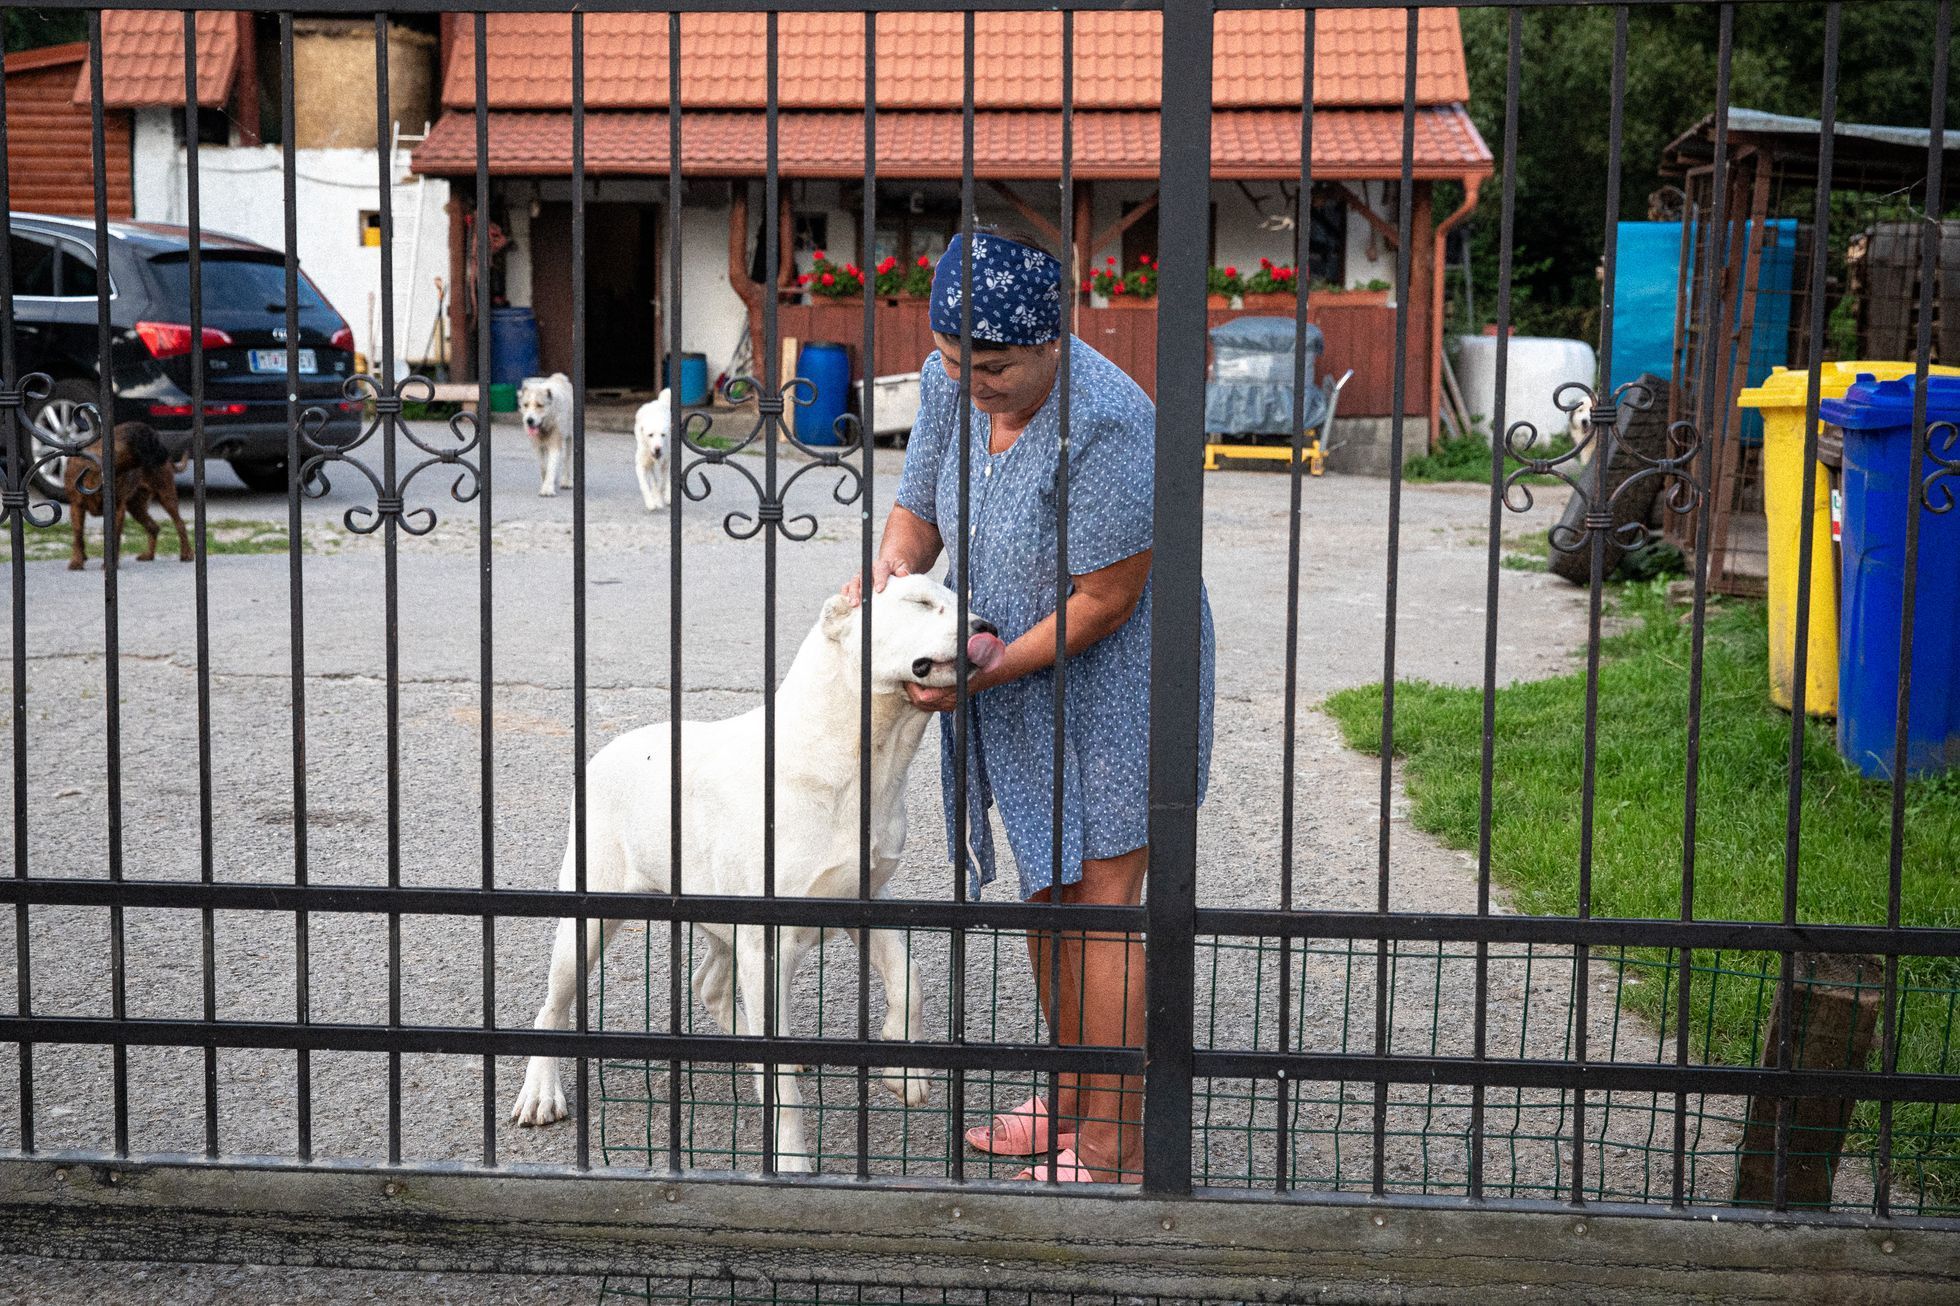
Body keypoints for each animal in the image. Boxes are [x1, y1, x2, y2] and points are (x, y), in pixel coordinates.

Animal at [65, 421, 191, 568]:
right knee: (154, 527)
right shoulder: (76, 506)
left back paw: (187, 553)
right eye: (155, 441)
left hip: (165, 495)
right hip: (136, 506)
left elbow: (115, 537)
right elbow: (78, 535)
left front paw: (110, 564)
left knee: (179, 523)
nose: (167, 453)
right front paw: (77, 561)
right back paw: (149, 555)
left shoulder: (118, 510)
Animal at [513, 572, 1003, 1168]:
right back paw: (541, 1092)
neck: (860, 755)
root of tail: (606, 751)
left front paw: (904, 1069)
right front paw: (791, 1160)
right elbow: (784, 1088)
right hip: (590, 922)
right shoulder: (769, 941)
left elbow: (909, 978)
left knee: (709, 986)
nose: (988, 627)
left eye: (966, 603)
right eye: (921, 602)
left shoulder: (863, 900)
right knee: (552, 1005)